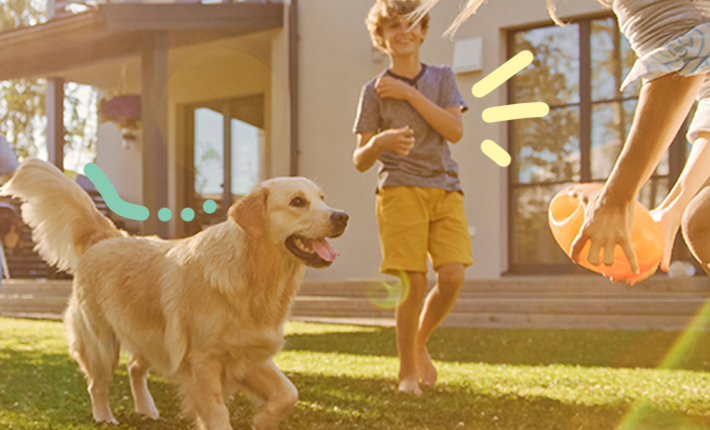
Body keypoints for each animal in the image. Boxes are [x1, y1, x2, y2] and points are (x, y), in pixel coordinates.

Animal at [2, 158, 350, 430]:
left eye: (322, 198)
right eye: (297, 202)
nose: (342, 216)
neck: (252, 274)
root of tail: (108, 235)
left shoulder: (248, 353)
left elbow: (288, 393)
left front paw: (263, 419)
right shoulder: (203, 362)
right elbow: (217, 412)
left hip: (148, 335)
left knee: (134, 368)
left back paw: (146, 408)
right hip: (101, 342)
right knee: (96, 384)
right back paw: (104, 417)